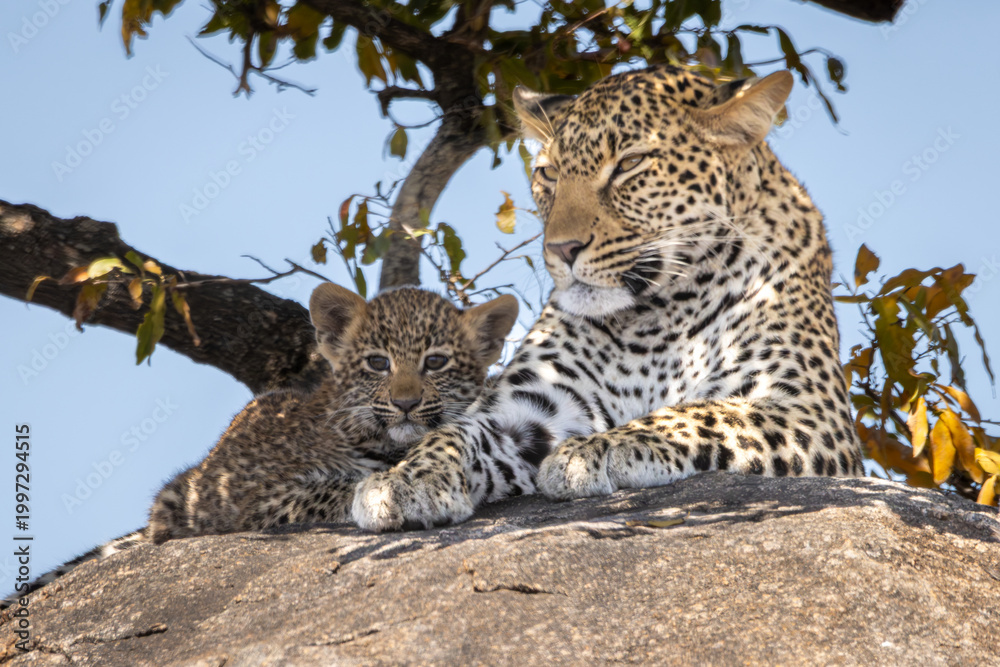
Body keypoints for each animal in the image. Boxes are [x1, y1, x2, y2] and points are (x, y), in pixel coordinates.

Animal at [351, 65, 864, 532]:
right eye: (548, 173)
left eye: (629, 165)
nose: (561, 249)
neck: (657, 315)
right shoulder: (531, 404)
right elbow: (456, 432)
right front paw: (403, 480)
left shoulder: (807, 408)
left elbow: (699, 414)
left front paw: (592, 451)